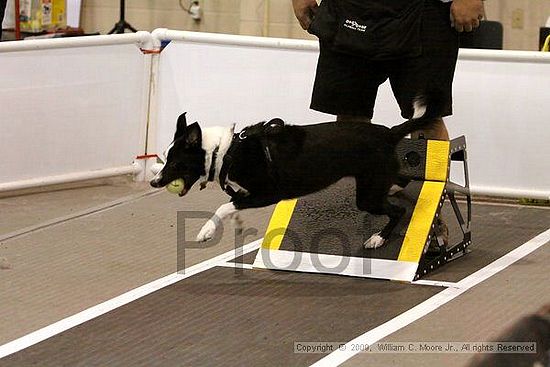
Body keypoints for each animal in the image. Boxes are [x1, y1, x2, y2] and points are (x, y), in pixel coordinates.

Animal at [153, 100, 442, 247]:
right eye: (165, 159)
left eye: (175, 164)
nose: (155, 182)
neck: (224, 152)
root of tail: (389, 133)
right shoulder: (246, 193)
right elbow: (232, 204)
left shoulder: (267, 193)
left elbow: (225, 206)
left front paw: (206, 231)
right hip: (374, 181)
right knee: (401, 180)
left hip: (367, 195)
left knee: (398, 211)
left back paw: (378, 238)